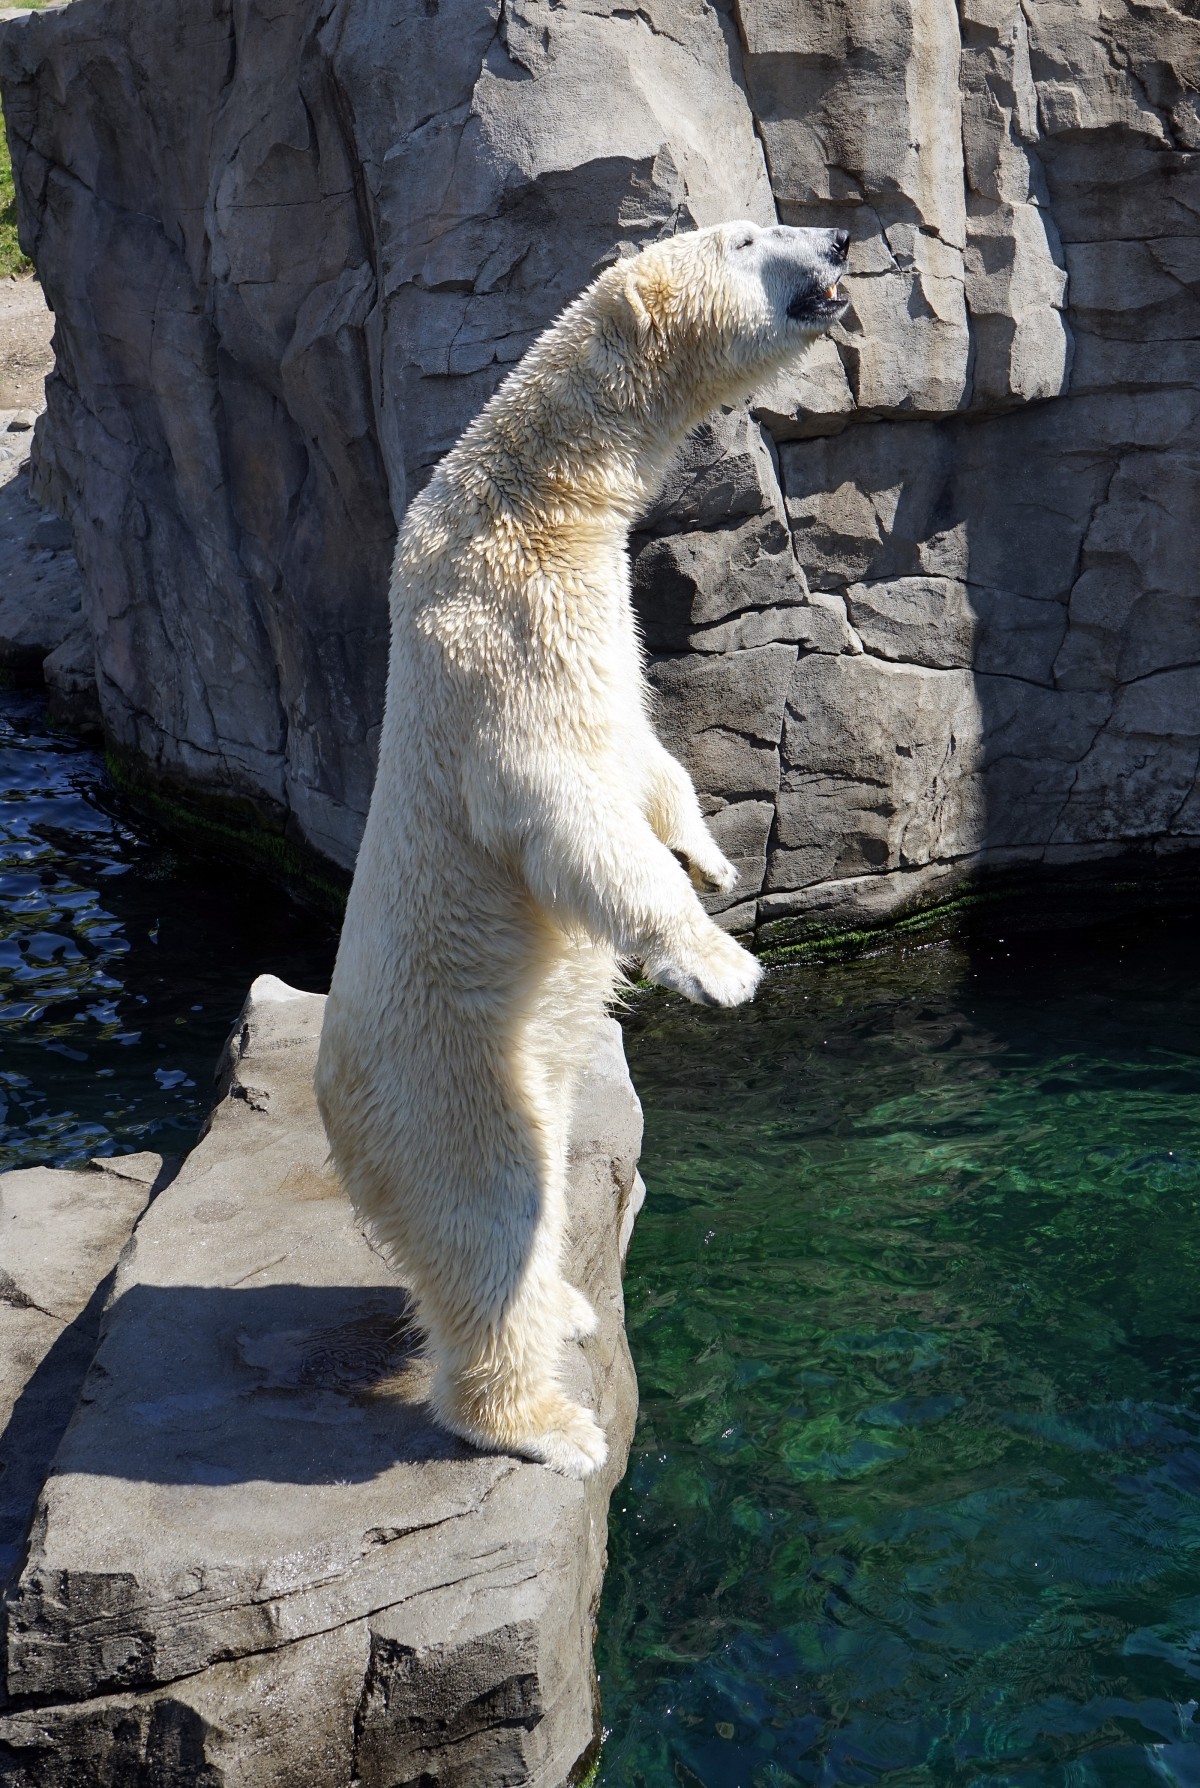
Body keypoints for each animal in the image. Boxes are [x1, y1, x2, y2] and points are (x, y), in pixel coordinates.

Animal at [314, 219, 851, 1480]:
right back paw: (542, 1421)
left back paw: (561, 1303)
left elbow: (644, 758)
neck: (522, 503)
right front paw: (721, 965)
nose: (840, 234)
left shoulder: (596, 611)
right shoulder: (496, 638)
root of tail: (334, 1113)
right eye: (749, 234)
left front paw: (711, 859)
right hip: (447, 1073)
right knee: (493, 1208)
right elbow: (562, 809)